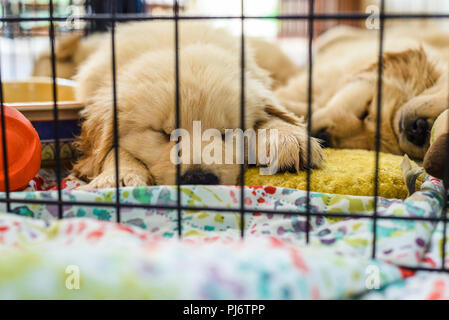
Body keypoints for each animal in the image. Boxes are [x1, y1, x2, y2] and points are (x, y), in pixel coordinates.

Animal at [72, 21, 320, 188]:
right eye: (165, 134)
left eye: (226, 133)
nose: (199, 178)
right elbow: (111, 150)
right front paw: (119, 176)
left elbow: (274, 114)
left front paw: (288, 138)